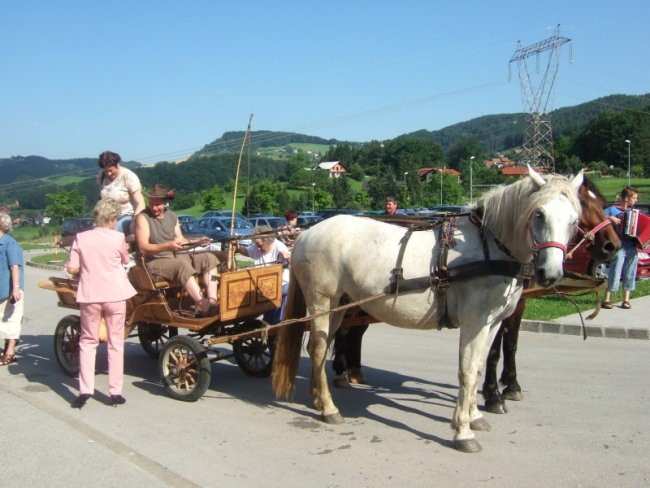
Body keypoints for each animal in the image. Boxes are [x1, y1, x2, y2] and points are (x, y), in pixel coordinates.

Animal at [274, 168, 584, 454]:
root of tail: (307, 233)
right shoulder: (474, 322)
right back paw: (329, 408)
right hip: (321, 301)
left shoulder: (493, 323)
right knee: (317, 349)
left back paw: (319, 398)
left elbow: (480, 366)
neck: (490, 246)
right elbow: (467, 372)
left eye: (573, 220)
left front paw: (475, 415)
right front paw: (463, 432)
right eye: (539, 214)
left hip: (338, 305)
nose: (550, 273)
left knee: (322, 346)